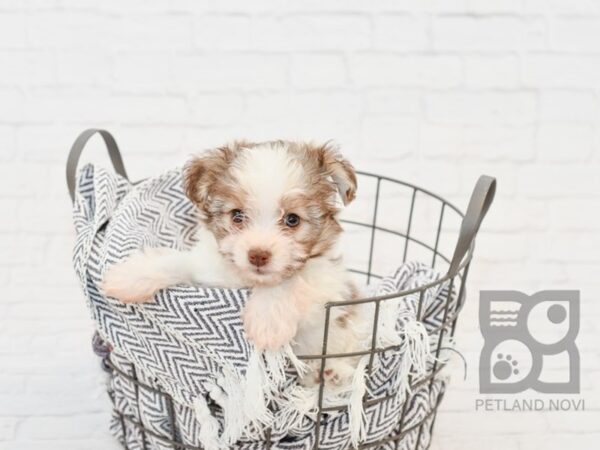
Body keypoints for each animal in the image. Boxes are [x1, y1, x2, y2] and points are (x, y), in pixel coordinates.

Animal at [103, 140, 366, 386]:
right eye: (237, 215)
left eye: (292, 219)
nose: (258, 255)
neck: (247, 279)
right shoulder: (207, 269)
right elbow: (177, 261)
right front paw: (131, 276)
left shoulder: (325, 282)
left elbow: (291, 279)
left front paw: (267, 320)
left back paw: (332, 372)